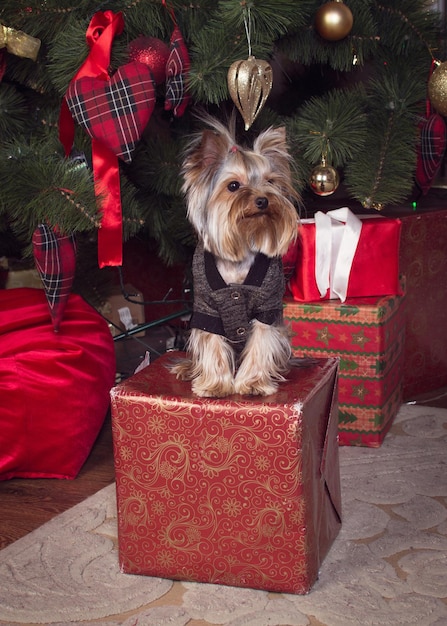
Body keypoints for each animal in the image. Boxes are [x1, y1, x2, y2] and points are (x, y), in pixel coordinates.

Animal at [172, 117, 300, 394]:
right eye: (233, 186)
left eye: (270, 182)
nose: (263, 200)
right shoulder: (206, 308)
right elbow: (212, 343)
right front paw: (215, 385)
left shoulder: (266, 307)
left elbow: (260, 342)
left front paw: (252, 383)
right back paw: (188, 369)